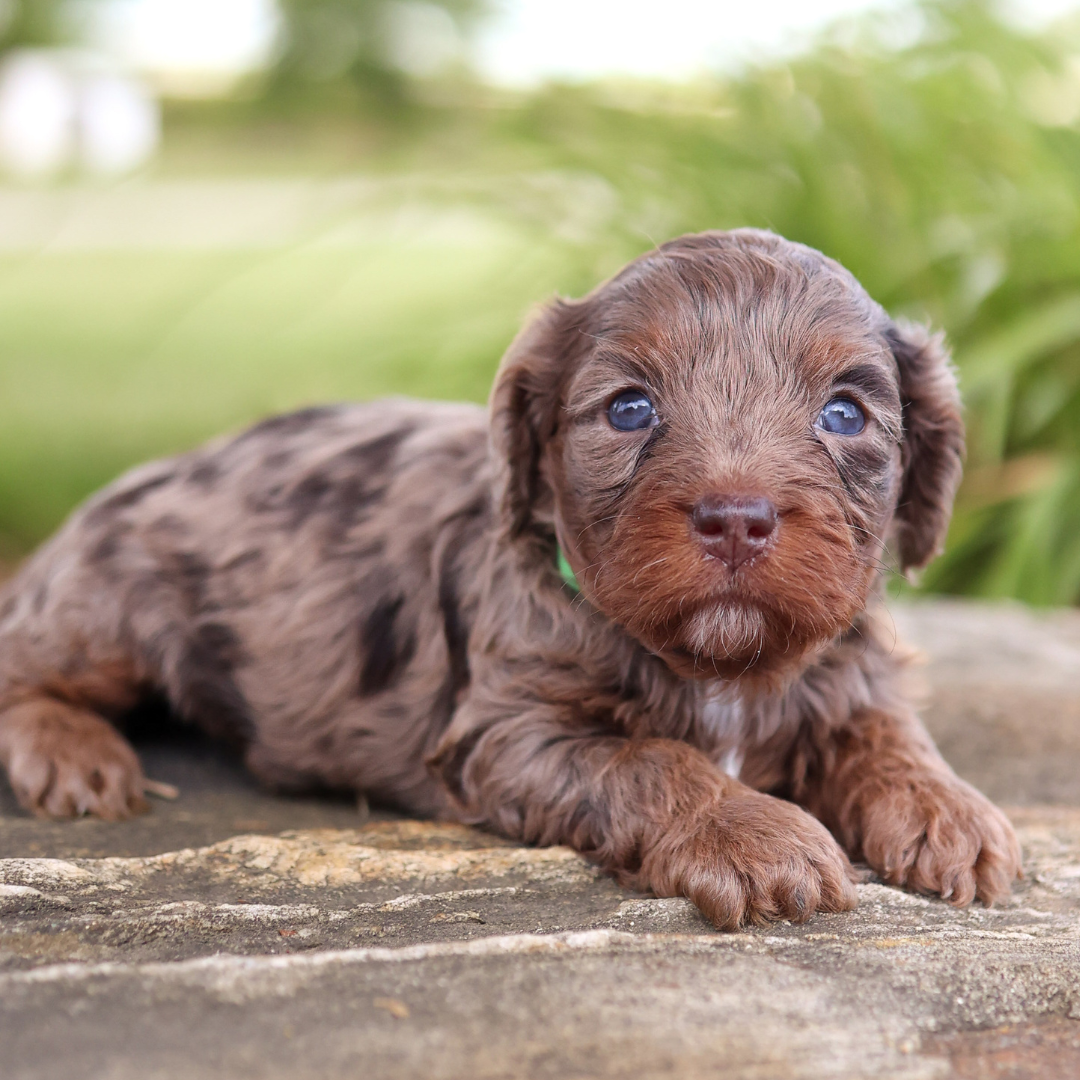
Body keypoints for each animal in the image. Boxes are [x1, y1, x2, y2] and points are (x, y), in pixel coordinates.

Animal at [0, 230, 1019, 928]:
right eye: (630, 408)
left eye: (844, 414)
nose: (736, 517)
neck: (719, 669)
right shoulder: (510, 731)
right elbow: (655, 759)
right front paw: (755, 833)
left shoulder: (851, 669)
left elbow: (888, 731)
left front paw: (950, 809)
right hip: (108, 606)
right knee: (23, 662)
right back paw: (73, 753)